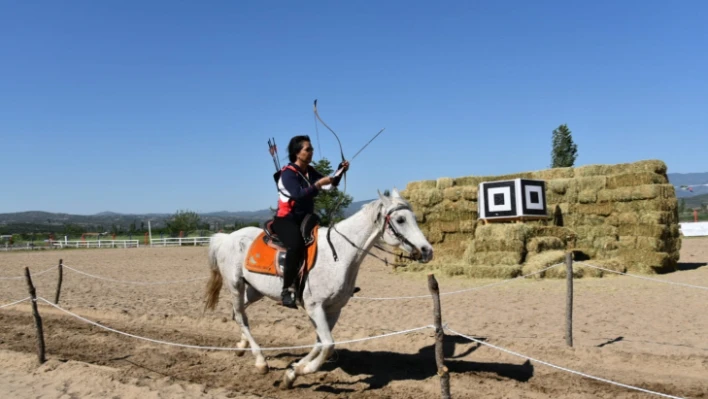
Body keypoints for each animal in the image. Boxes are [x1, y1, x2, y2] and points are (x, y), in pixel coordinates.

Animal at [203, 189, 432, 390]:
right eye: (400, 220)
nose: (427, 250)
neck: (339, 254)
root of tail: (227, 237)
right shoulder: (315, 307)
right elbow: (328, 345)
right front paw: (300, 371)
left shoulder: (333, 309)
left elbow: (320, 344)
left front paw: (293, 371)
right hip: (235, 285)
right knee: (241, 316)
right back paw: (260, 361)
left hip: (255, 291)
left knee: (238, 313)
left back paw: (242, 347)